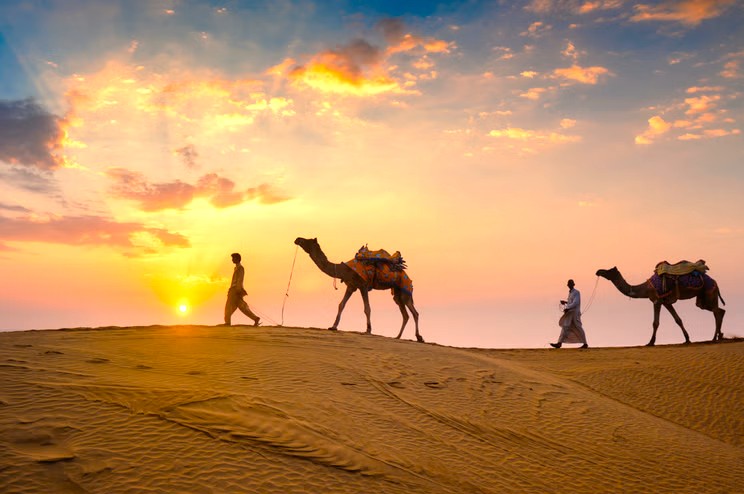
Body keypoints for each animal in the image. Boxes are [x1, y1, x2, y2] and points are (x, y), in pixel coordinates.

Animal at [294, 237, 423, 342]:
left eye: (307, 240)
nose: (297, 239)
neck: (344, 269)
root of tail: (407, 276)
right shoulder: (351, 286)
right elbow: (341, 304)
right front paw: (333, 326)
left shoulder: (363, 285)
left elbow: (367, 308)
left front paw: (368, 330)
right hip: (397, 293)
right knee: (405, 314)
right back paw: (398, 336)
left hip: (405, 290)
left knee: (415, 313)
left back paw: (419, 337)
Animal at [596, 266, 725, 346]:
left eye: (609, 271)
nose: (598, 271)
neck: (646, 288)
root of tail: (716, 282)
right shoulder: (666, 302)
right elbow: (678, 320)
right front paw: (687, 339)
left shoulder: (656, 301)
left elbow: (655, 323)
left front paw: (650, 342)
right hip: (702, 299)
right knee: (720, 310)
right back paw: (720, 336)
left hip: (710, 293)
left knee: (716, 311)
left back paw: (714, 338)